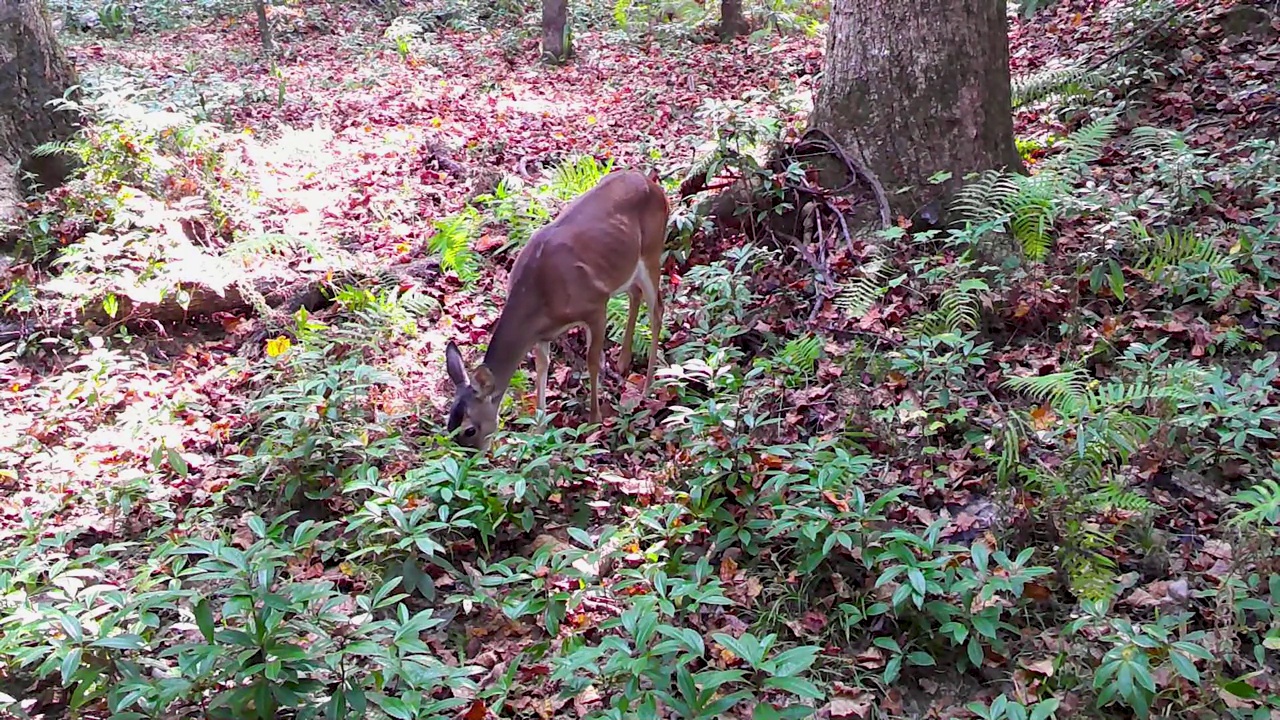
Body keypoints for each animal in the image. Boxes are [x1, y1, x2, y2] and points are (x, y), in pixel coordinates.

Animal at [442, 167, 670, 448]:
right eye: (449, 426)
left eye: (470, 429)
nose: (471, 457)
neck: (541, 297)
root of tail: (653, 183)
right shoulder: (542, 334)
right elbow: (542, 367)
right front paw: (538, 429)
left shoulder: (595, 304)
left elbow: (592, 359)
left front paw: (594, 420)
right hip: (625, 265)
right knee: (634, 293)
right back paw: (623, 361)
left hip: (652, 249)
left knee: (657, 309)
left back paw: (648, 386)